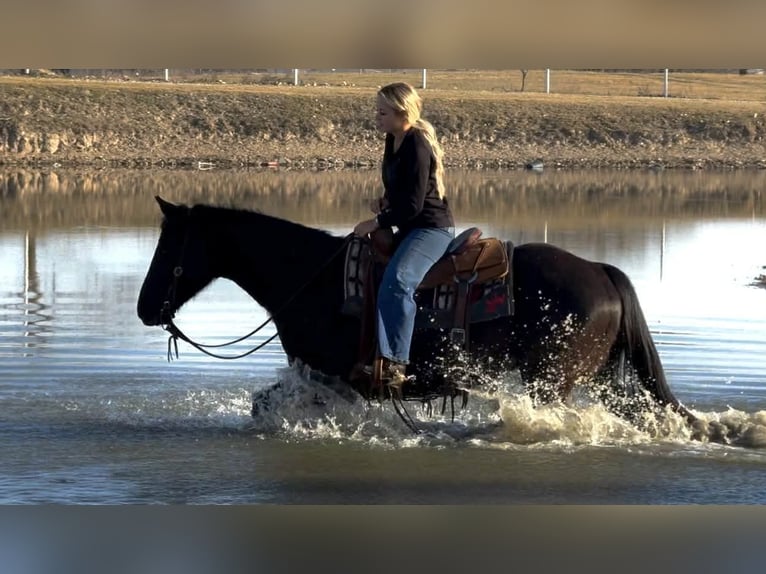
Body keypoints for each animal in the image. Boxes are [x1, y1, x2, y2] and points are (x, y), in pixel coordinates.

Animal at [137, 196, 696, 430]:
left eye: (169, 246)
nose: (144, 308)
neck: (311, 278)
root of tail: (601, 271)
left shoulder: (328, 374)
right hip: (599, 377)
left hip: (552, 379)